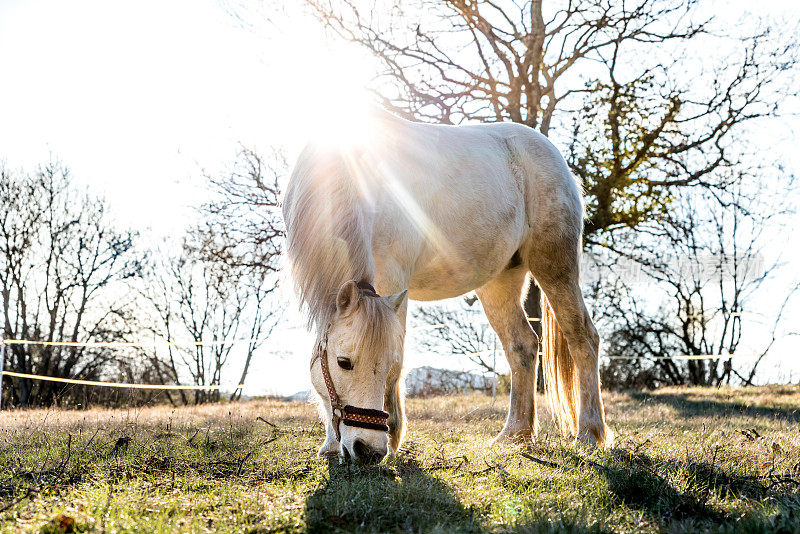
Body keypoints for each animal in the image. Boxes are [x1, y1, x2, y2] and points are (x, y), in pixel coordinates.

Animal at [286, 108, 612, 464]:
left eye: (389, 362)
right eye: (343, 362)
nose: (368, 450)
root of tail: (555, 157)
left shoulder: (393, 280)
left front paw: (394, 439)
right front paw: (331, 445)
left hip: (555, 266)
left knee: (583, 337)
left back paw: (589, 433)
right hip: (500, 281)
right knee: (523, 345)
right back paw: (515, 435)